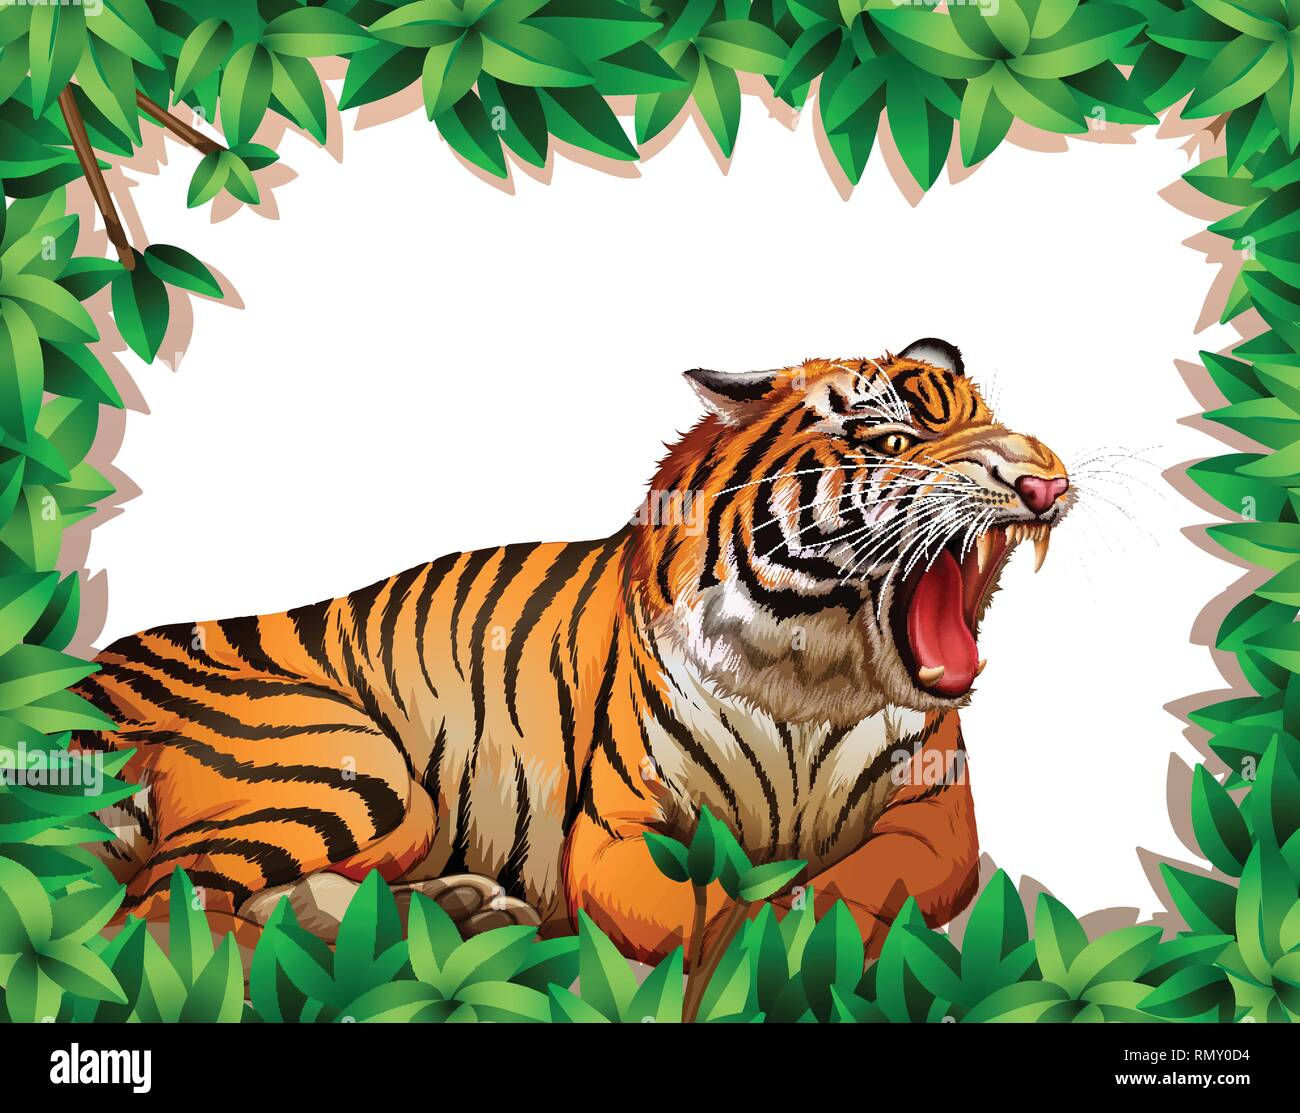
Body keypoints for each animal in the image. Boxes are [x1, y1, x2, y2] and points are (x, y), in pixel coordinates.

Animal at [73, 338, 1072, 962]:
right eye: (897, 439)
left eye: (997, 418)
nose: (1047, 479)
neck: (809, 674)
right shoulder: (619, 829)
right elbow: (700, 908)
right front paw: (760, 951)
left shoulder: (934, 817)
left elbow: (860, 881)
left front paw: (803, 929)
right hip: (358, 769)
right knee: (160, 915)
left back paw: (453, 912)